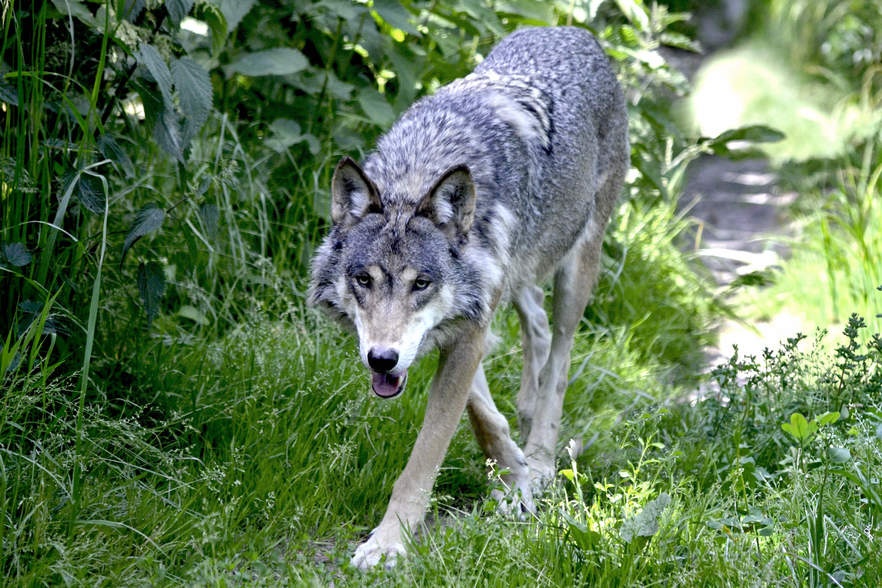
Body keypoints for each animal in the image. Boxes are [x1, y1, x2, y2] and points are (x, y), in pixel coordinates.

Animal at [309, 26, 629, 569]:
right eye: (364, 280)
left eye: (421, 283)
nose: (381, 359)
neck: (418, 172)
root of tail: (575, 32)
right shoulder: (464, 320)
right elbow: (481, 412)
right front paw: (510, 475)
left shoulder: (469, 325)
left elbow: (426, 456)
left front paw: (389, 543)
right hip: (520, 275)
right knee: (536, 327)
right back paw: (525, 421)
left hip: (577, 269)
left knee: (561, 358)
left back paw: (542, 457)